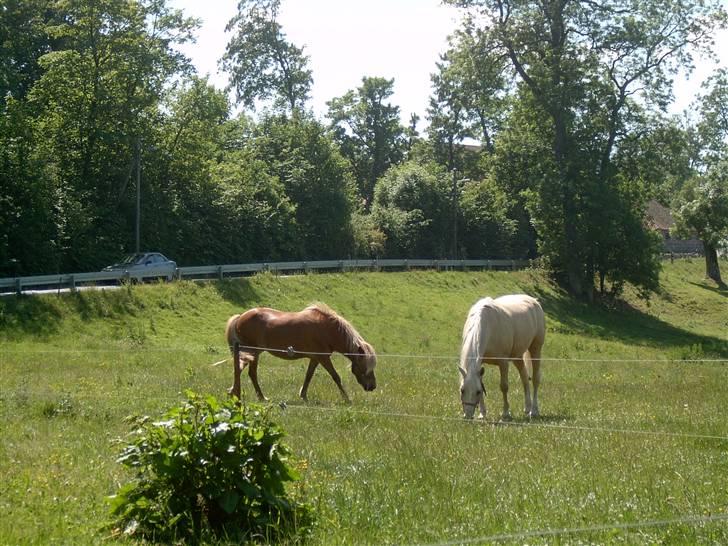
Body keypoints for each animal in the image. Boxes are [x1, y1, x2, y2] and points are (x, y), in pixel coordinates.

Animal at [226, 304, 376, 402]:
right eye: (364, 368)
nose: (372, 387)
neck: (327, 329)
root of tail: (240, 317)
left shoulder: (316, 358)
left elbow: (308, 376)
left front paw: (303, 395)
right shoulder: (324, 358)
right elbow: (336, 376)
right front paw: (347, 399)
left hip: (251, 354)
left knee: (242, 370)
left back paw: (238, 393)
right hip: (253, 353)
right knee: (249, 373)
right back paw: (255, 396)